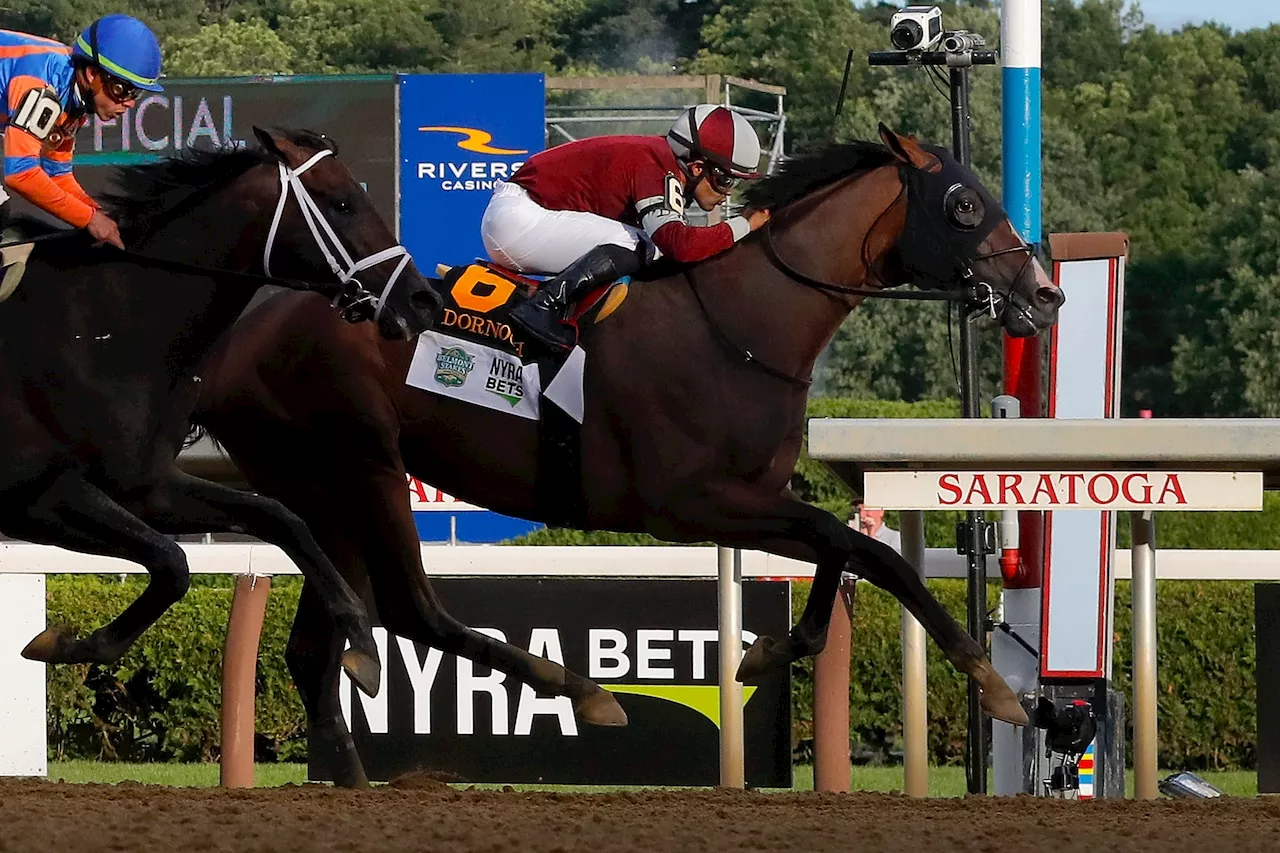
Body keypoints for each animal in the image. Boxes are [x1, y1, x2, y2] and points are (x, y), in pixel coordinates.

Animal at [1, 129, 440, 706]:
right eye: (342, 203)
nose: (423, 299)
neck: (105, 325)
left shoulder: (146, 487)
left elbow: (280, 518)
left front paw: (362, 645)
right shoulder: (38, 495)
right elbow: (173, 564)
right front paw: (65, 643)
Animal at [197, 124, 1059, 783]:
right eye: (964, 204)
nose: (1044, 293)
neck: (740, 324)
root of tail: (235, 341)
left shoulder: (757, 495)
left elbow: (845, 549)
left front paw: (772, 651)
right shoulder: (694, 503)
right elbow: (858, 548)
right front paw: (992, 684)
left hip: (324, 495)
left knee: (314, 647)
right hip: (358, 467)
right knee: (400, 607)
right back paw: (580, 693)